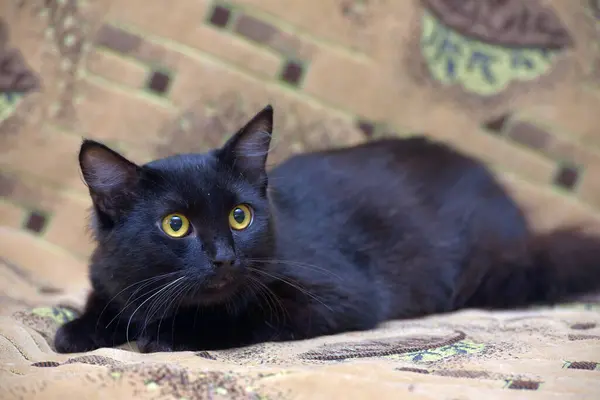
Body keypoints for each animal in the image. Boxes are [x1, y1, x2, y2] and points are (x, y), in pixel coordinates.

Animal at [52, 104, 600, 354]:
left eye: (239, 216)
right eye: (175, 224)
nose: (224, 257)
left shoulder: (337, 294)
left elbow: (244, 318)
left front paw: (166, 335)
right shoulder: (111, 276)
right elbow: (107, 304)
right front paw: (78, 329)